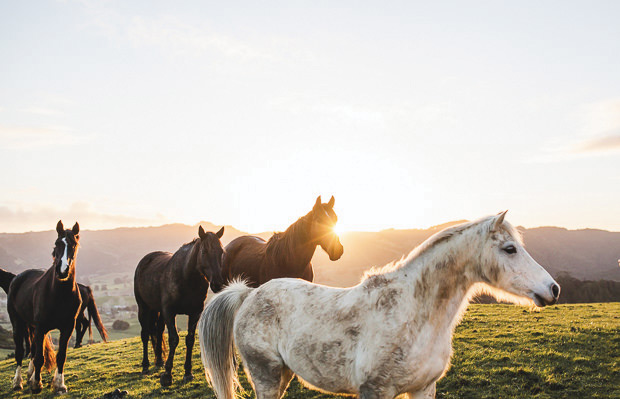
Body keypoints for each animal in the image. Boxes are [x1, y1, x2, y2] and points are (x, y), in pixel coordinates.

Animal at [6, 222, 82, 394]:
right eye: (57, 243)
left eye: (73, 245)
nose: (62, 271)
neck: (59, 294)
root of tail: (17, 278)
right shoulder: (41, 327)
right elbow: (40, 357)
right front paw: (36, 384)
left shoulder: (68, 327)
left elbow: (61, 356)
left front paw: (59, 384)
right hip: (17, 323)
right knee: (20, 352)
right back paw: (18, 382)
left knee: (33, 350)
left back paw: (30, 375)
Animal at [134, 228, 226, 388]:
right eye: (204, 252)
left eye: (221, 251)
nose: (217, 284)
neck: (186, 278)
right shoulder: (169, 312)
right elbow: (174, 339)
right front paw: (167, 375)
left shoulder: (195, 313)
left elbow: (190, 340)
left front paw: (188, 372)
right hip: (143, 308)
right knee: (145, 334)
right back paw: (145, 366)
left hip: (158, 311)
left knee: (158, 331)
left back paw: (159, 361)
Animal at [200, 211, 560, 398]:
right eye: (510, 249)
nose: (553, 289)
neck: (413, 312)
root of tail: (249, 294)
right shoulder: (376, 390)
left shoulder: (424, 388)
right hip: (266, 374)